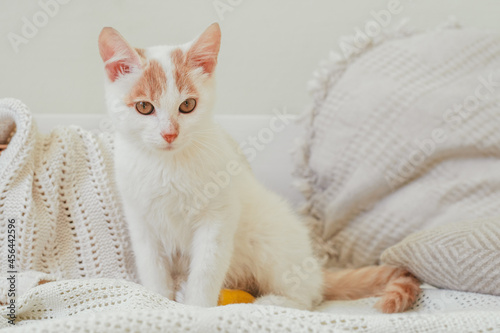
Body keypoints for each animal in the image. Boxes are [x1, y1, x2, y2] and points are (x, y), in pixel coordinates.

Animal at [96, 23, 418, 312]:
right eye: (144, 107)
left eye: (187, 105)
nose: (169, 134)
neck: (168, 164)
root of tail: (315, 266)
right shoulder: (142, 221)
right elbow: (153, 268)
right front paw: (158, 303)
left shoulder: (218, 217)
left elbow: (206, 269)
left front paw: (196, 309)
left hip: (271, 240)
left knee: (309, 295)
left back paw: (275, 302)